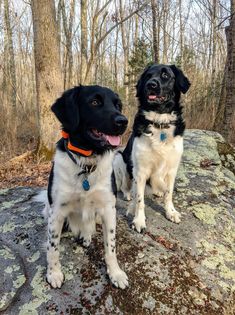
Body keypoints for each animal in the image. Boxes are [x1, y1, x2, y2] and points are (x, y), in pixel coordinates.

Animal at [114, 63, 191, 232]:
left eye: (165, 75)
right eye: (148, 76)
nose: (151, 85)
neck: (159, 122)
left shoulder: (172, 168)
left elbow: (169, 193)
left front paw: (170, 212)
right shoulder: (140, 170)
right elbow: (140, 200)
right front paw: (139, 220)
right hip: (119, 158)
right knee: (126, 186)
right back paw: (128, 194)